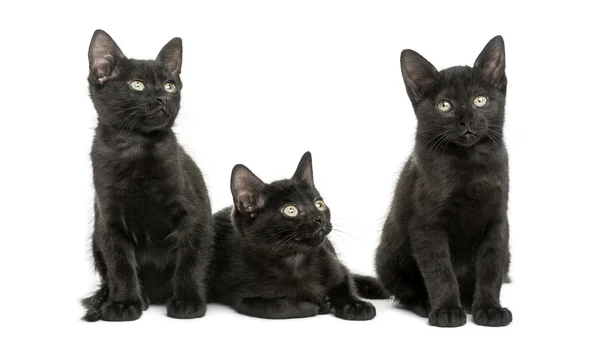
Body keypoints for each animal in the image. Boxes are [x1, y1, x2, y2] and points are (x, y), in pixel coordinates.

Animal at [81, 30, 213, 322]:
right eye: (137, 85)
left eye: (170, 86)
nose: (163, 98)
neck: (138, 148)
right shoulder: (109, 221)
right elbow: (119, 265)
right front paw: (123, 304)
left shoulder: (194, 215)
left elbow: (190, 259)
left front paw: (188, 302)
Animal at [210, 152, 390, 320]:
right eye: (291, 210)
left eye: (319, 204)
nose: (319, 218)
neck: (295, 260)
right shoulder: (242, 295)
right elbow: (279, 307)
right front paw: (319, 304)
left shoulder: (334, 265)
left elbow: (345, 282)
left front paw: (355, 305)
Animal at [376, 36, 510, 328]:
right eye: (444, 105)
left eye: (480, 100)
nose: (466, 120)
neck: (468, 164)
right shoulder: (426, 225)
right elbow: (439, 269)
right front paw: (447, 310)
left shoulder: (497, 221)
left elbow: (491, 267)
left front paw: (489, 308)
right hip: (389, 256)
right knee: (404, 291)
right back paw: (425, 304)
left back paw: (470, 302)